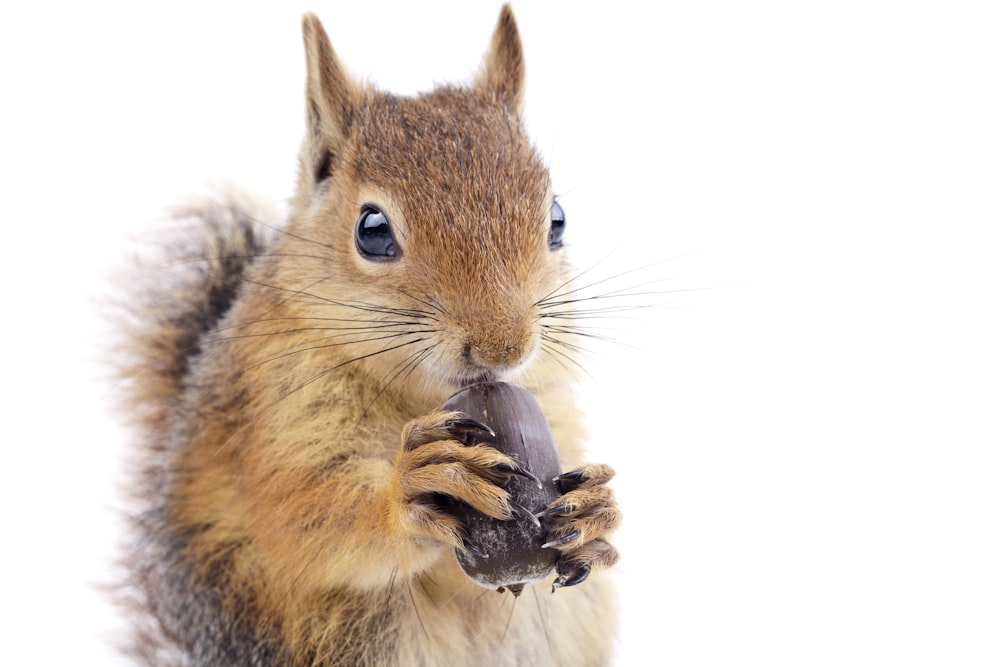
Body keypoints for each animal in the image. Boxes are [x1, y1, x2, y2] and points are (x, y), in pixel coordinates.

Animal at [115, 6, 616, 667]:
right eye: (372, 230)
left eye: (556, 219)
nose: (503, 348)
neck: (420, 398)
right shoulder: (273, 406)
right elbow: (300, 514)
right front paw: (412, 487)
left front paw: (599, 514)